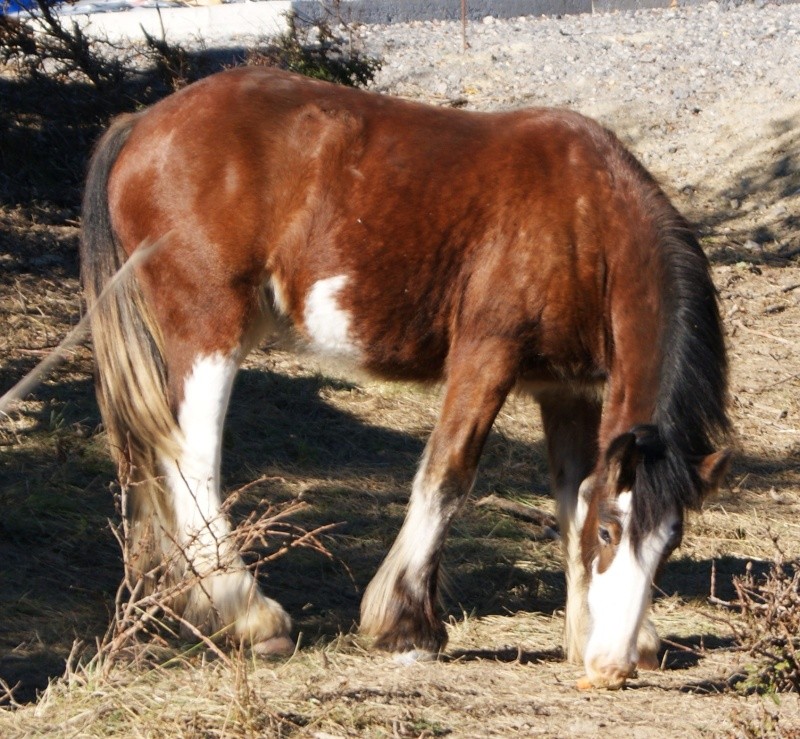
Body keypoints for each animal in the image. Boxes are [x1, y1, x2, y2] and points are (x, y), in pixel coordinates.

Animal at [81, 66, 732, 692]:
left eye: (670, 542)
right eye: (611, 533)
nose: (613, 666)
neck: (584, 216)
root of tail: (142, 124)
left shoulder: (566, 389)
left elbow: (574, 497)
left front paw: (593, 633)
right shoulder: (486, 356)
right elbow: (448, 476)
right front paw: (406, 625)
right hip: (209, 330)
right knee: (191, 462)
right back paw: (248, 613)